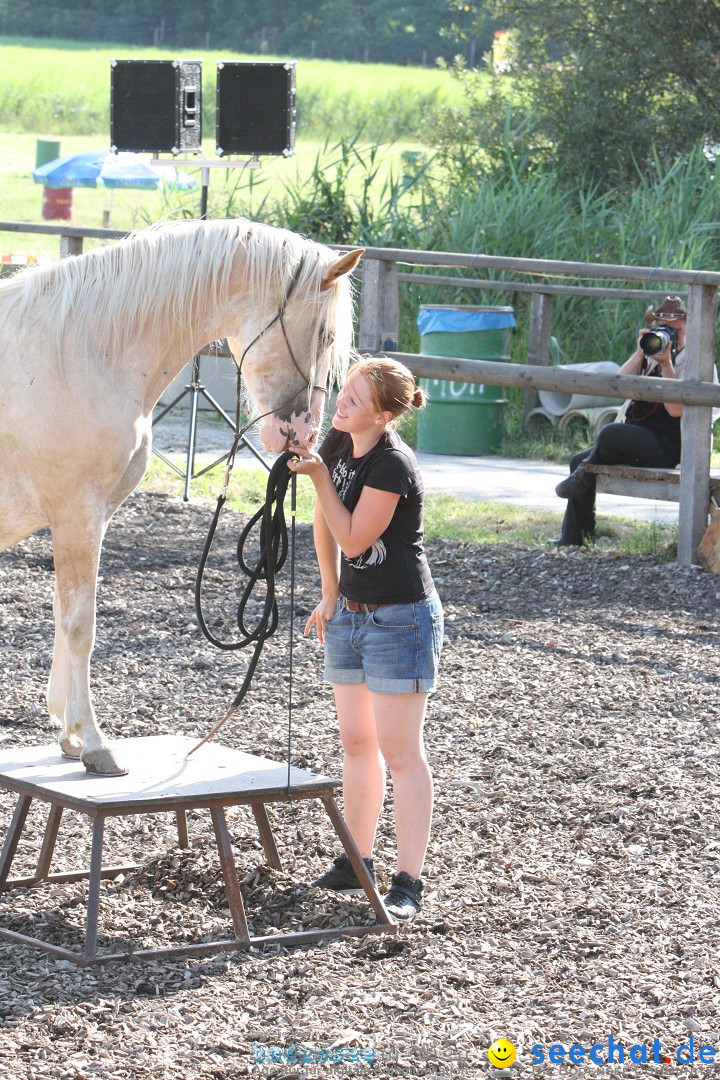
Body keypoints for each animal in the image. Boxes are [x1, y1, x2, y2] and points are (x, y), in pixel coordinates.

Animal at [0, 219, 360, 777]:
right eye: (324, 335)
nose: (302, 435)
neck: (79, 353)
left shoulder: (85, 519)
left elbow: (63, 615)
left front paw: (70, 736)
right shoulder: (76, 514)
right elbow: (81, 624)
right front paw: (95, 742)